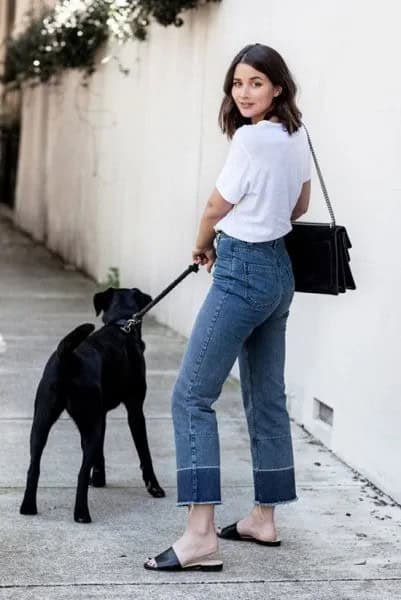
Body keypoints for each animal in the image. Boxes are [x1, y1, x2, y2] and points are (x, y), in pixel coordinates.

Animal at [19, 288, 164, 524]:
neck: (121, 324)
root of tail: (67, 357)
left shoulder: (100, 415)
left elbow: (100, 452)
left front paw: (98, 479)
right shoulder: (134, 410)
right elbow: (144, 452)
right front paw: (154, 487)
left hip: (41, 422)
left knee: (34, 466)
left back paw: (28, 507)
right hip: (87, 425)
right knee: (80, 472)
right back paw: (81, 513)